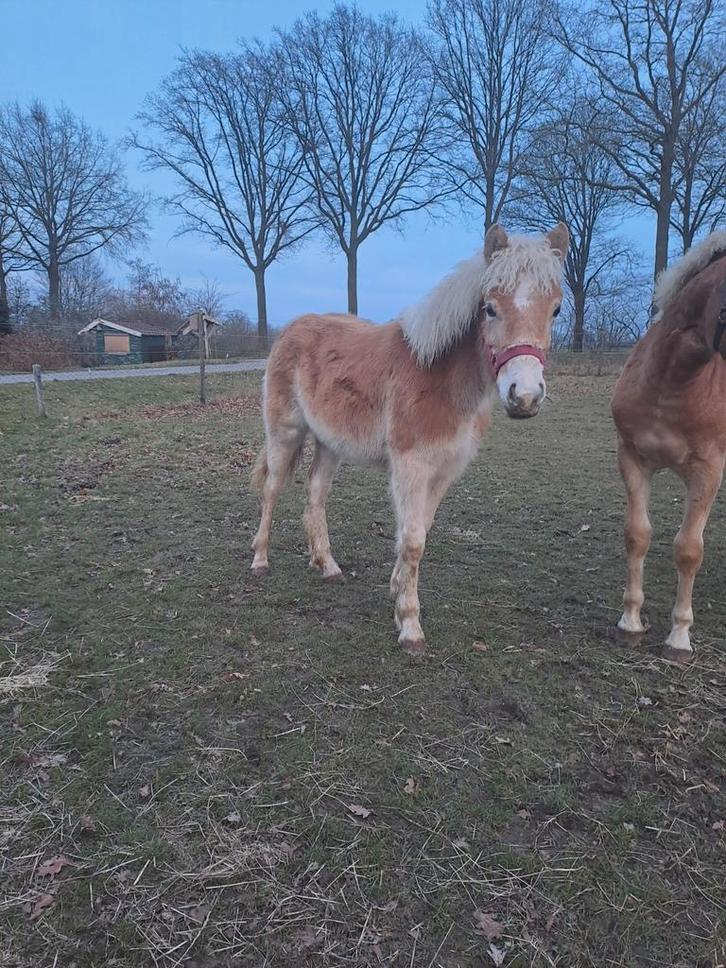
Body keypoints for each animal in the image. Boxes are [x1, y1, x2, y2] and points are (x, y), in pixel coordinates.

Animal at [250, 223, 569, 654]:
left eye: (555, 309)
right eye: (490, 308)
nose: (526, 396)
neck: (438, 376)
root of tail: (291, 330)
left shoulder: (444, 471)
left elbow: (417, 532)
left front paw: (397, 590)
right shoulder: (410, 466)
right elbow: (414, 538)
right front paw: (410, 626)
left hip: (330, 443)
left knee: (315, 493)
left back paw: (328, 566)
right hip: (284, 433)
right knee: (272, 490)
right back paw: (260, 560)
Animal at [612, 230, 726, 662]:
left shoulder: (709, 471)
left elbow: (689, 549)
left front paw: (679, 637)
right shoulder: (632, 458)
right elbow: (637, 534)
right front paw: (630, 622)